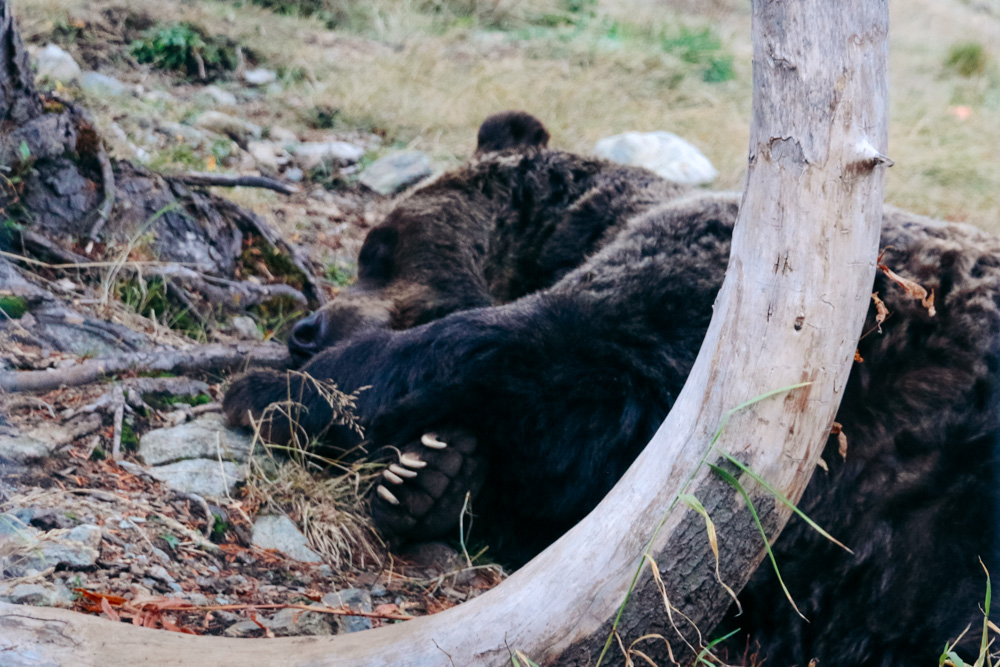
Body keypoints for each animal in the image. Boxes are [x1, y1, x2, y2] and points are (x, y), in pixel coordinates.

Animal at [227, 112, 1000, 664]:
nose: (306, 329)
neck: (576, 233)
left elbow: (509, 346)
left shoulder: (703, 303)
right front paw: (431, 476)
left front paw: (268, 390)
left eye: (378, 246)